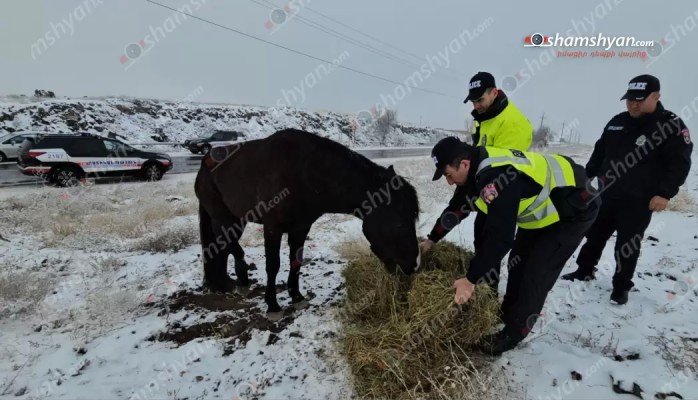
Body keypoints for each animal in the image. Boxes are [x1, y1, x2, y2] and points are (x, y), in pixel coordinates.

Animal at [190, 129, 418, 316]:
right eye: (400, 222)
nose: (413, 265)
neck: (304, 173)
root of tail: (204, 163)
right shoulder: (272, 229)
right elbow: (273, 265)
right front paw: (273, 305)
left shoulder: (301, 227)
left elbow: (296, 260)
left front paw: (296, 296)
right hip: (223, 218)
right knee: (226, 243)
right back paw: (240, 279)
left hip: (237, 219)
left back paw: (225, 282)